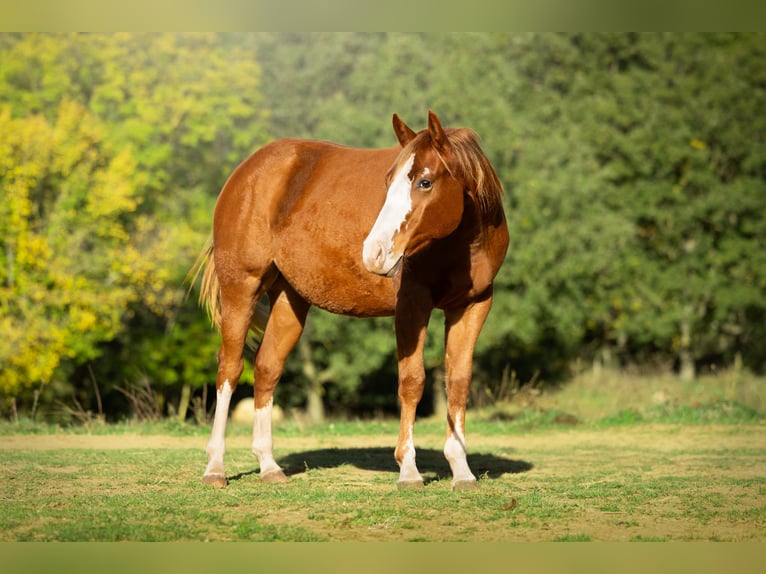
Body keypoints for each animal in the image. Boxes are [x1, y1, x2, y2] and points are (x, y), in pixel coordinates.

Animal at [191, 110, 509, 490]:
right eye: (388, 180)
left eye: (425, 182)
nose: (374, 253)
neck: (460, 244)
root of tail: (246, 171)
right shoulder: (412, 305)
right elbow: (412, 381)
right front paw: (408, 469)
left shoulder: (473, 306)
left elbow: (458, 381)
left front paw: (461, 470)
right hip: (241, 287)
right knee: (230, 367)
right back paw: (215, 467)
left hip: (289, 298)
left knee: (267, 369)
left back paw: (269, 466)